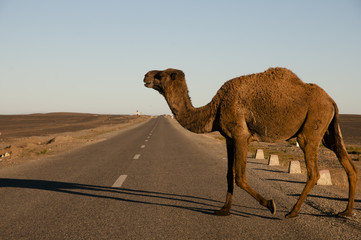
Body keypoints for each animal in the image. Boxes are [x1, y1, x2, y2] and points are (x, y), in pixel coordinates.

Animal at [143, 66, 358, 218]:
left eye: (160, 74)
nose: (145, 76)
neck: (216, 107)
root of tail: (331, 100)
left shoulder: (241, 135)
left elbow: (240, 177)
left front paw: (271, 205)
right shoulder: (229, 138)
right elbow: (229, 175)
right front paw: (223, 210)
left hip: (312, 125)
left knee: (313, 171)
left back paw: (292, 212)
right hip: (329, 131)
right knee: (348, 163)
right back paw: (346, 212)